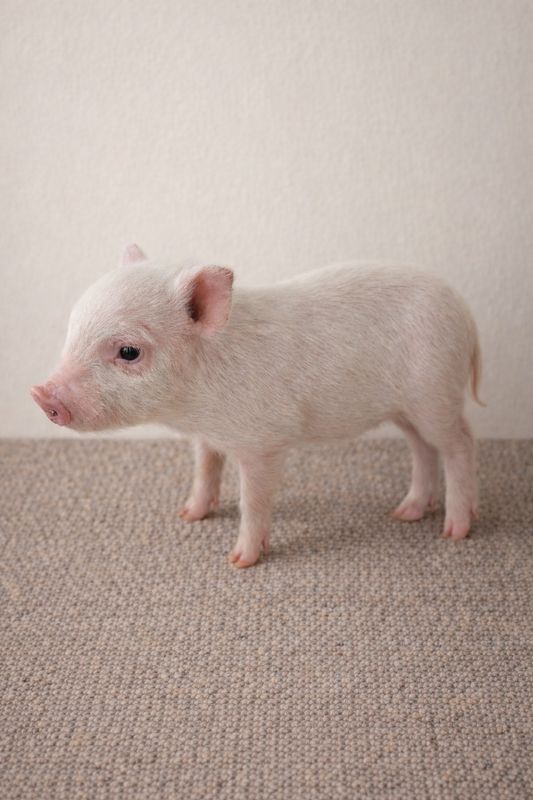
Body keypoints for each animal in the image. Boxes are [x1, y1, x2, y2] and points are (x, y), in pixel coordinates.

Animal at [31, 244, 484, 567]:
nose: (41, 395)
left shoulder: (264, 441)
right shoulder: (206, 436)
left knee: (460, 443)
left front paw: (239, 561)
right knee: (423, 448)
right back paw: (405, 513)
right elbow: (205, 470)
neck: (193, 407)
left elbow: (254, 499)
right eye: (73, 329)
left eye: (129, 351)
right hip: (407, 409)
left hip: (434, 392)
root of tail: (463, 311)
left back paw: (454, 531)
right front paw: (188, 515)